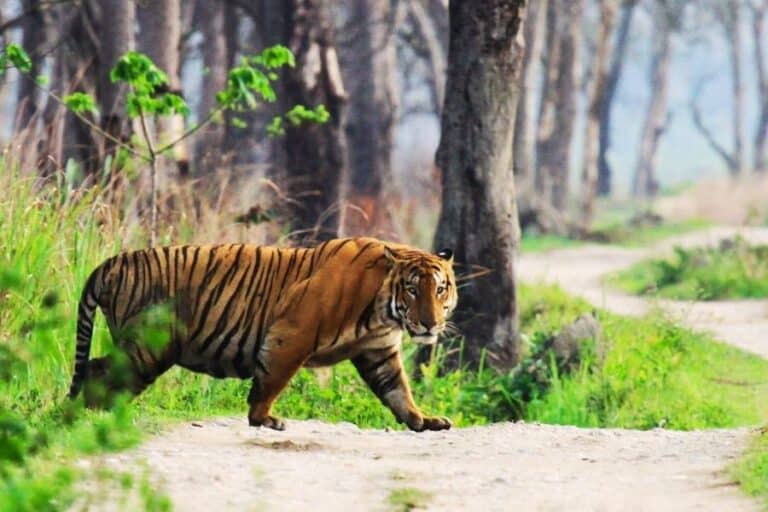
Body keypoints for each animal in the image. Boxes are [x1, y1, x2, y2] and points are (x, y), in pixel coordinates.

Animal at [68, 237, 458, 432]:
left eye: (440, 289)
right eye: (412, 290)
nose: (430, 324)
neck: (383, 312)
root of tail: (110, 264)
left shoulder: (379, 351)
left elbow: (398, 391)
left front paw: (422, 420)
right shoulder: (292, 334)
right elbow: (272, 380)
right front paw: (263, 419)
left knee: (98, 370)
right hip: (149, 348)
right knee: (98, 371)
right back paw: (89, 417)